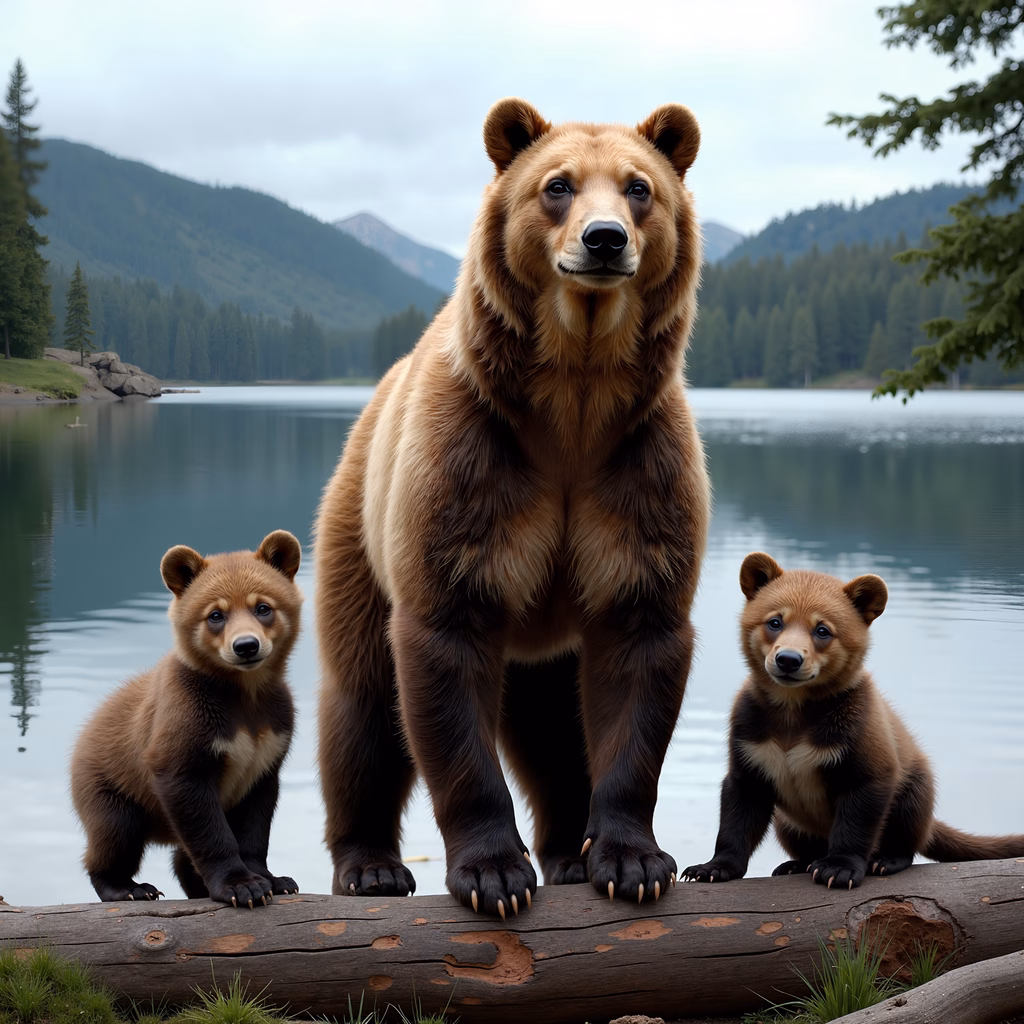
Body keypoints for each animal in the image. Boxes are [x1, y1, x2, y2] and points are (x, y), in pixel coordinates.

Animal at [70, 530, 303, 907]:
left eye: (263, 607)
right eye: (215, 614)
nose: (246, 646)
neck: (243, 694)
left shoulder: (271, 739)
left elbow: (256, 819)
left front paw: (274, 880)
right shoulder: (187, 724)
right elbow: (198, 812)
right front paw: (241, 886)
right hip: (108, 785)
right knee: (114, 835)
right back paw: (129, 887)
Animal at [314, 98, 711, 917]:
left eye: (639, 187)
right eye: (557, 185)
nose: (603, 239)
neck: (572, 406)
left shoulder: (635, 477)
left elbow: (640, 654)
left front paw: (633, 860)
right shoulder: (474, 469)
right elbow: (444, 651)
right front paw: (493, 873)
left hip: (548, 645)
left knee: (555, 727)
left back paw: (567, 852)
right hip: (358, 529)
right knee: (361, 704)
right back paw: (369, 863)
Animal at [683, 552, 1024, 889]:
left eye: (822, 630)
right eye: (775, 622)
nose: (788, 660)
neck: (793, 713)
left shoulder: (864, 751)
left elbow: (856, 822)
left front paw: (839, 868)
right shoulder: (749, 748)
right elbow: (737, 817)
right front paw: (712, 868)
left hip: (915, 791)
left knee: (907, 836)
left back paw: (885, 860)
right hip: (787, 821)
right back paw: (795, 864)